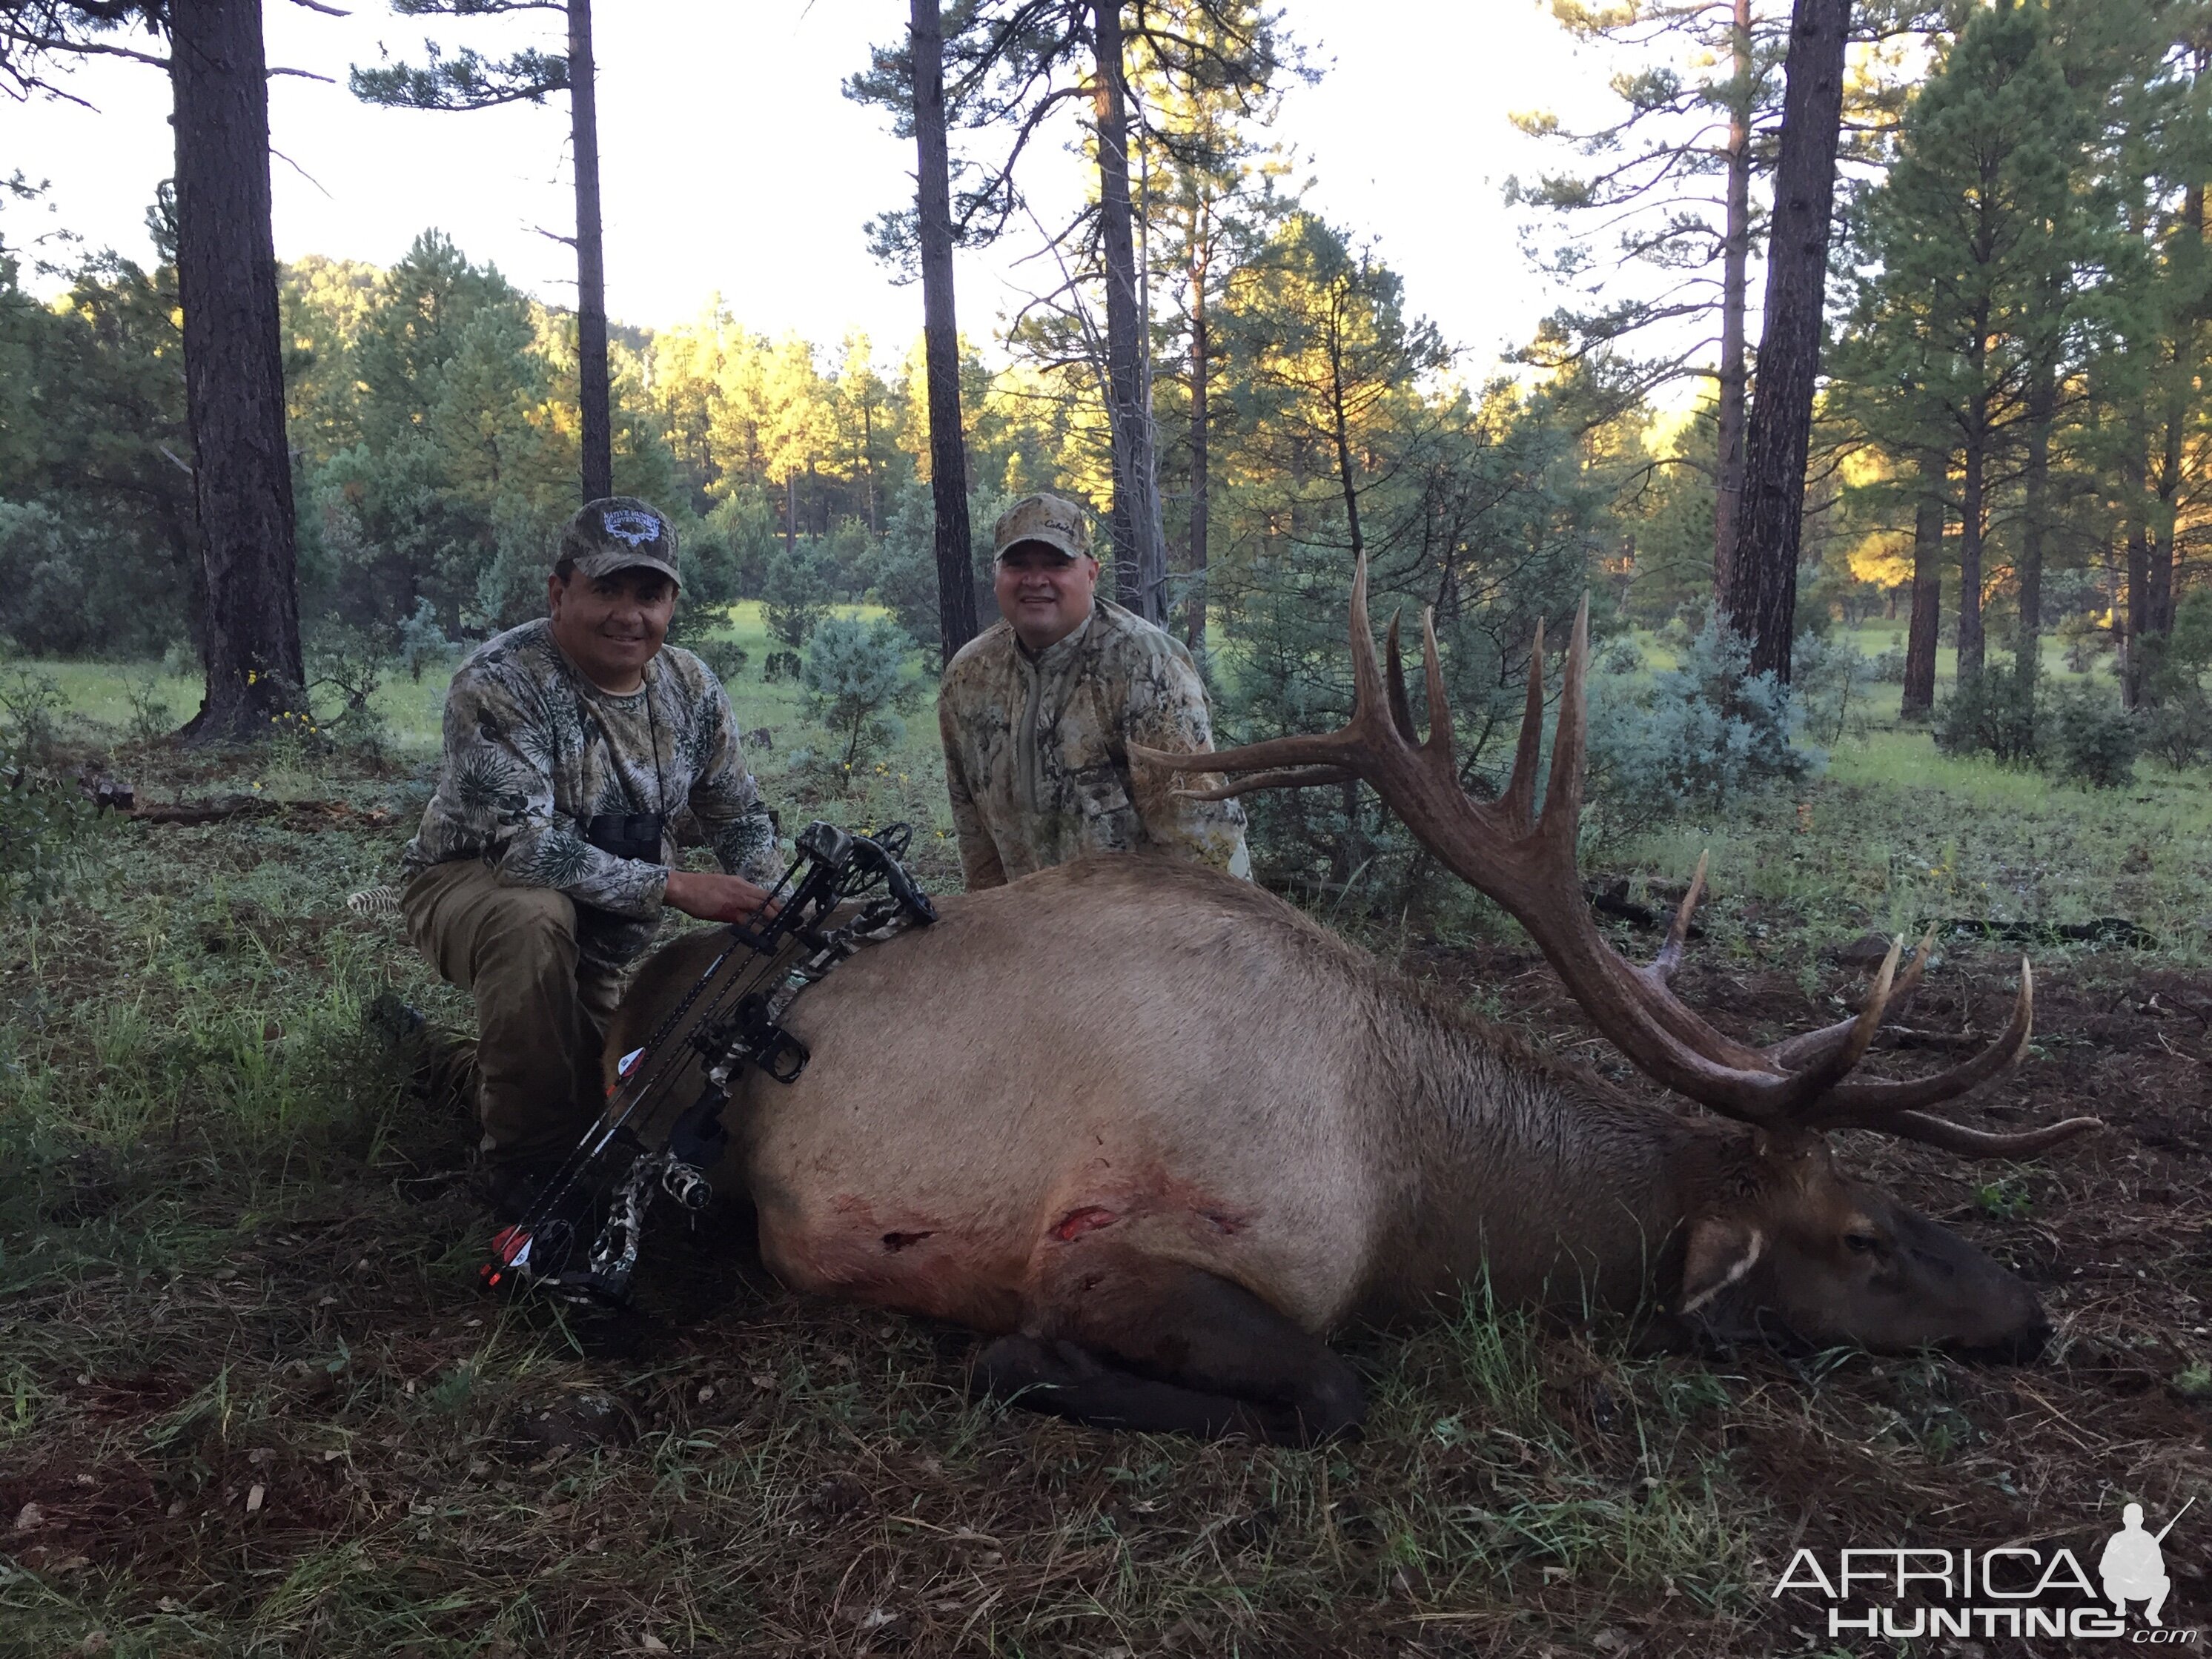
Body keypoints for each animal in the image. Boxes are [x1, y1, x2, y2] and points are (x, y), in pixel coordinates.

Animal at [615, 570, 2096, 1442]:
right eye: (1860, 1235)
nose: (2028, 1313)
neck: (1417, 1194)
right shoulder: (1117, 1243)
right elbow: (1332, 1385)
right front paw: (1027, 1364)